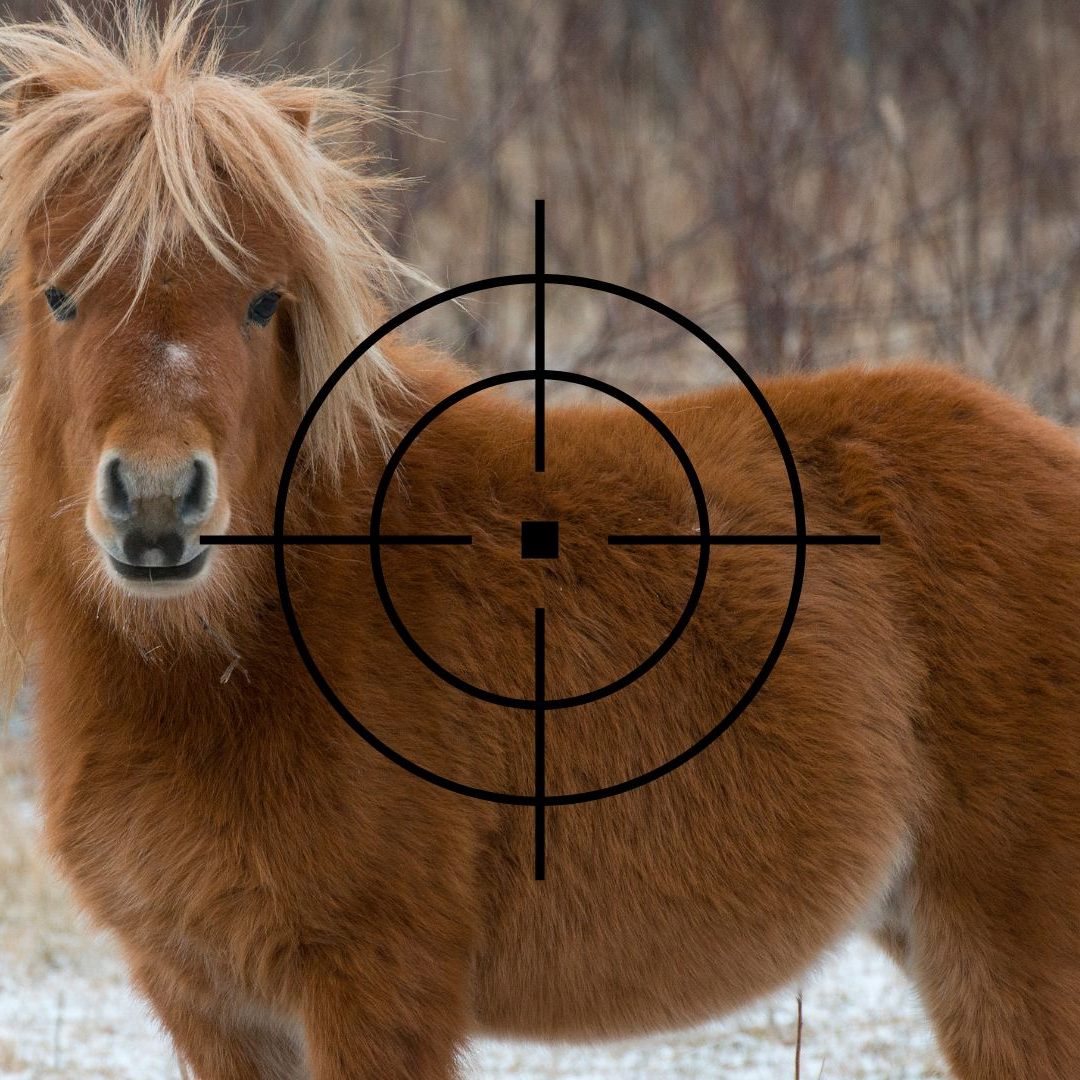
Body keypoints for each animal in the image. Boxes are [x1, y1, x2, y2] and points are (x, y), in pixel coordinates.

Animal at [1, 5, 1079, 1078]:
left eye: (263, 302)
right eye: (59, 296)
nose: (155, 505)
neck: (236, 661)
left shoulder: (376, 989)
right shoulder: (212, 1005)